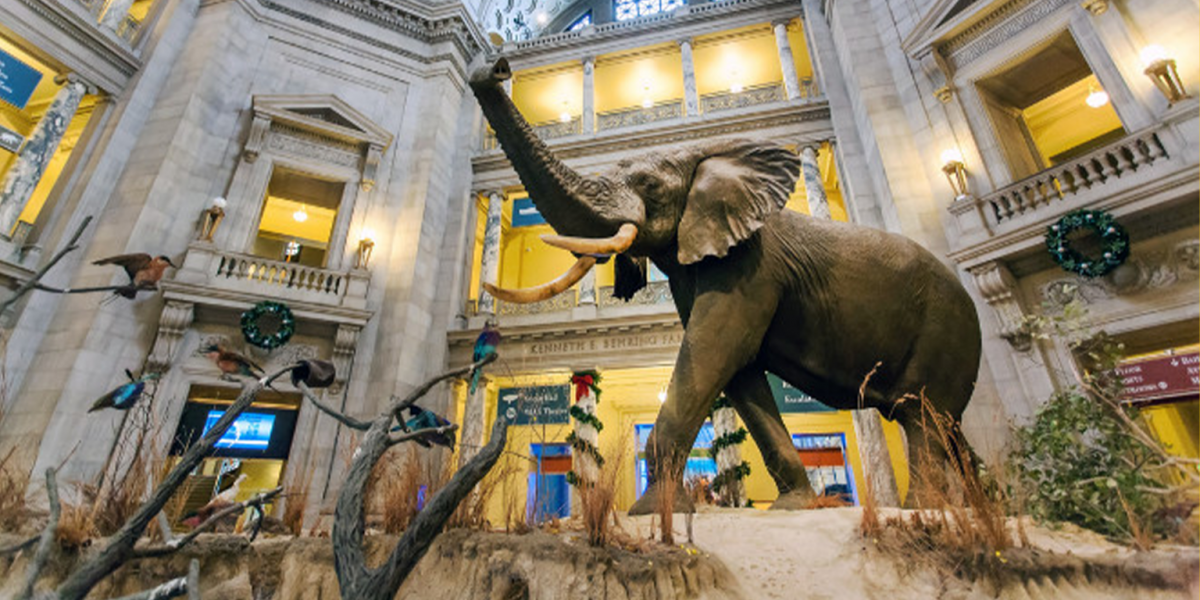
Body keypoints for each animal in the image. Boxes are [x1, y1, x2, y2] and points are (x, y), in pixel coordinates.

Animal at [465, 58, 974, 513]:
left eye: (649, 184)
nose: (494, 67)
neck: (703, 156)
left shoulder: (751, 265)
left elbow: (713, 352)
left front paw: (653, 511)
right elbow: (741, 372)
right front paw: (793, 507)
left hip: (943, 329)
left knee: (920, 418)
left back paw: (925, 511)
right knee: (946, 429)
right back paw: (972, 504)